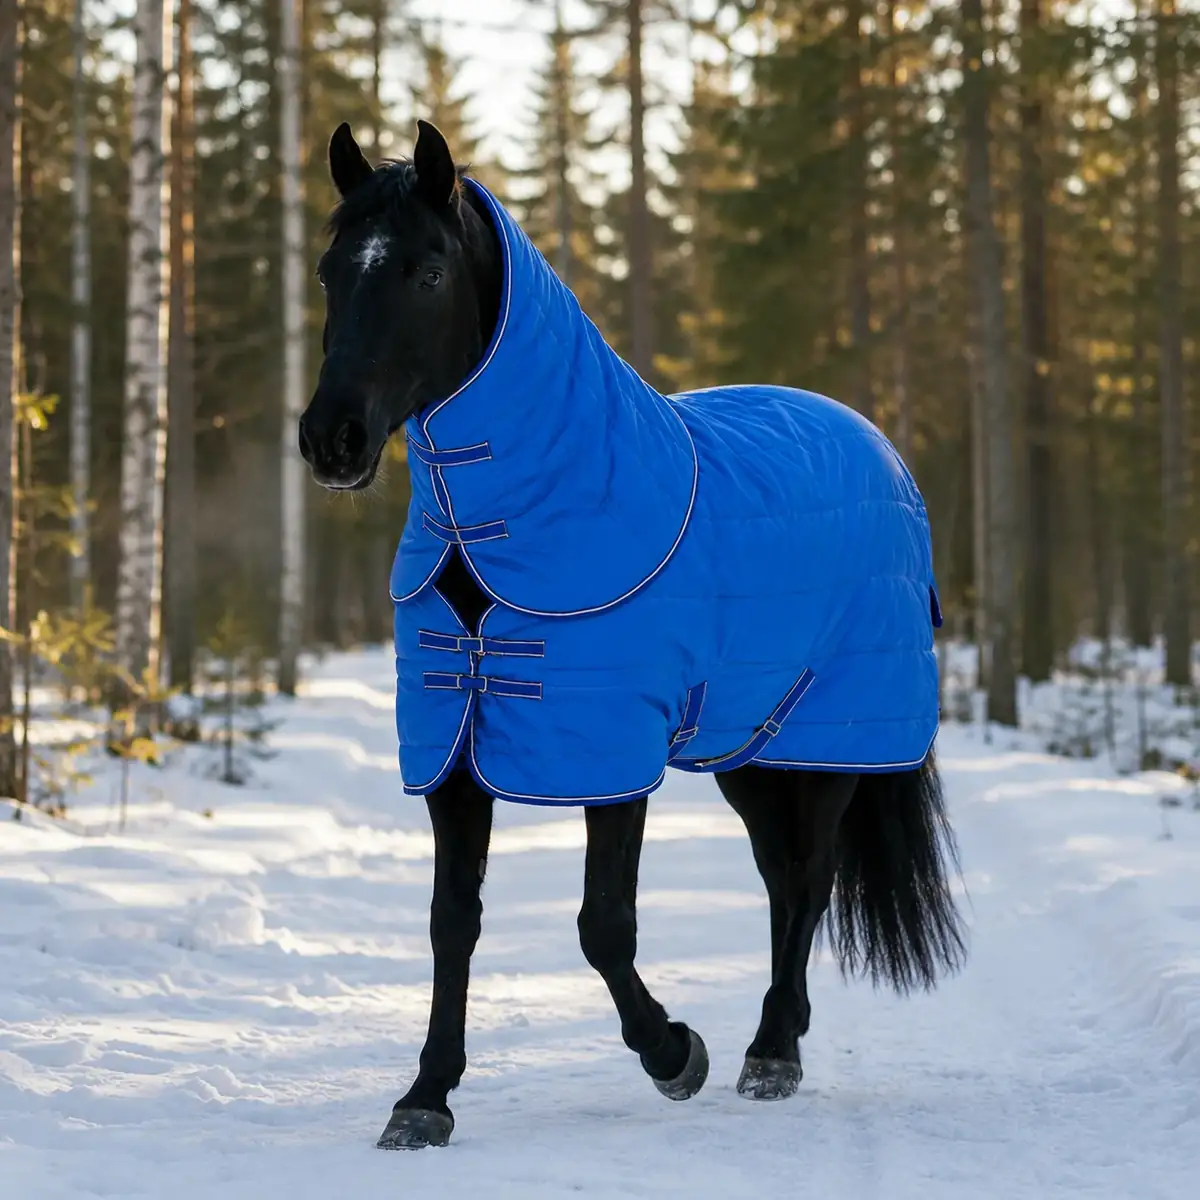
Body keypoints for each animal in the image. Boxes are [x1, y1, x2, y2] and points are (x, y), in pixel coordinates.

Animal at [298, 119, 966, 1151]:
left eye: (427, 272)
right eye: (332, 270)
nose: (331, 438)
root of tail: (876, 446)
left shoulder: (610, 746)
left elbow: (602, 924)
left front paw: (674, 1053)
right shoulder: (456, 741)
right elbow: (453, 921)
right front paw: (424, 1098)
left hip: (832, 745)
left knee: (810, 878)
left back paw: (771, 1051)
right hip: (749, 747)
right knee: (781, 881)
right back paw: (778, 1039)